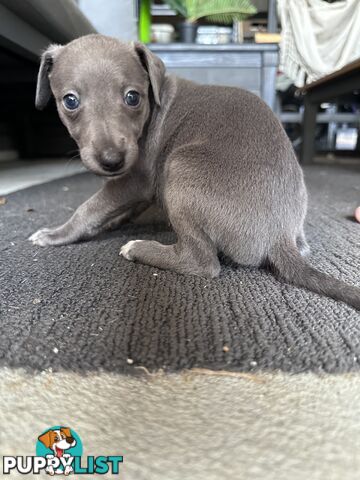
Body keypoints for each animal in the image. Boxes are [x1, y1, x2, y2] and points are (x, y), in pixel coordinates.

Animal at [30, 34, 360, 312]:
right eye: (70, 101)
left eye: (132, 97)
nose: (111, 160)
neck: (155, 100)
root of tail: (279, 237)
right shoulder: (142, 187)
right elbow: (113, 210)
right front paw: (107, 224)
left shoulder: (137, 178)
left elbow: (90, 207)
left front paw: (58, 233)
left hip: (180, 169)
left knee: (202, 262)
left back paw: (139, 248)